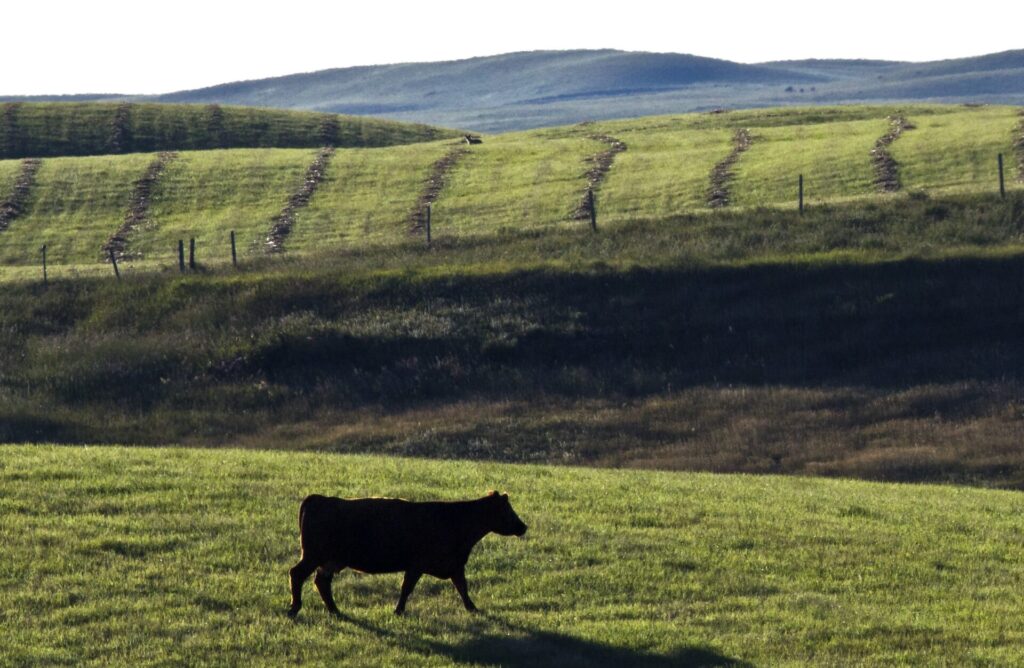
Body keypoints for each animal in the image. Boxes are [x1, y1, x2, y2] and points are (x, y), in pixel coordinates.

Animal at [288, 489, 528, 614]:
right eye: (508, 511)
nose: (523, 526)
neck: (455, 520)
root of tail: (318, 498)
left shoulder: (454, 564)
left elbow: (462, 587)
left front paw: (473, 608)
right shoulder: (418, 564)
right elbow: (407, 588)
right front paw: (398, 610)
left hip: (329, 560)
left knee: (321, 581)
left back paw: (334, 610)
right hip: (313, 555)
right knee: (297, 574)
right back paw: (295, 608)